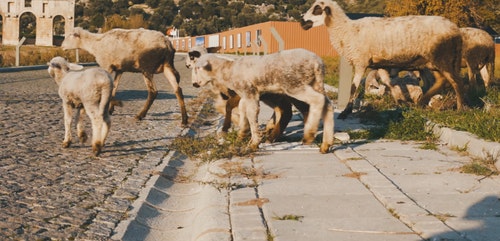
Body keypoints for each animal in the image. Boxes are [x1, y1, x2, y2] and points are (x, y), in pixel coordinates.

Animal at [60, 27, 188, 126]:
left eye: (71, 35)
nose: (61, 47)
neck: (96, 43)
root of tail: (167, 43)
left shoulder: (106, 66)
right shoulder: (119, 69)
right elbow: (114, 87)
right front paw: (110, 109)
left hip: (146, 67)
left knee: (153, 91)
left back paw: (139, 115)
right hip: (166, 66)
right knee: (178, 90)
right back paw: (184, 120)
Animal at [193, 48, 334, 153]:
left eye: (197, 69)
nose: (194, 84)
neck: (227, 71)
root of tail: (317, 63)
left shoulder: (250, 92)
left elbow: (251, 114)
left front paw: (254, 142)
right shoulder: (246, 95)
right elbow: (243, 110)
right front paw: (243, 133)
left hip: (294, 85)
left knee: (317, 101)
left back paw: (309, 134)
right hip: (314, 83)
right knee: (327, 105)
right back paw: (326, 144)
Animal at [302, 0, 466, 118]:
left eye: (317, 9)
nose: (302, 22)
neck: (347, 30)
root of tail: (455, 29)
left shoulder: (361, 62)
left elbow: (354, 88)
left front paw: (345, 112)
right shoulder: (377, 65)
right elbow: (389, 83)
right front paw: (401, 102)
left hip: (443, 58)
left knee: (456, 82)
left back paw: (460, 109)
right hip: (433, 62)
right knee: (440, 81)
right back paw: (422, 102)